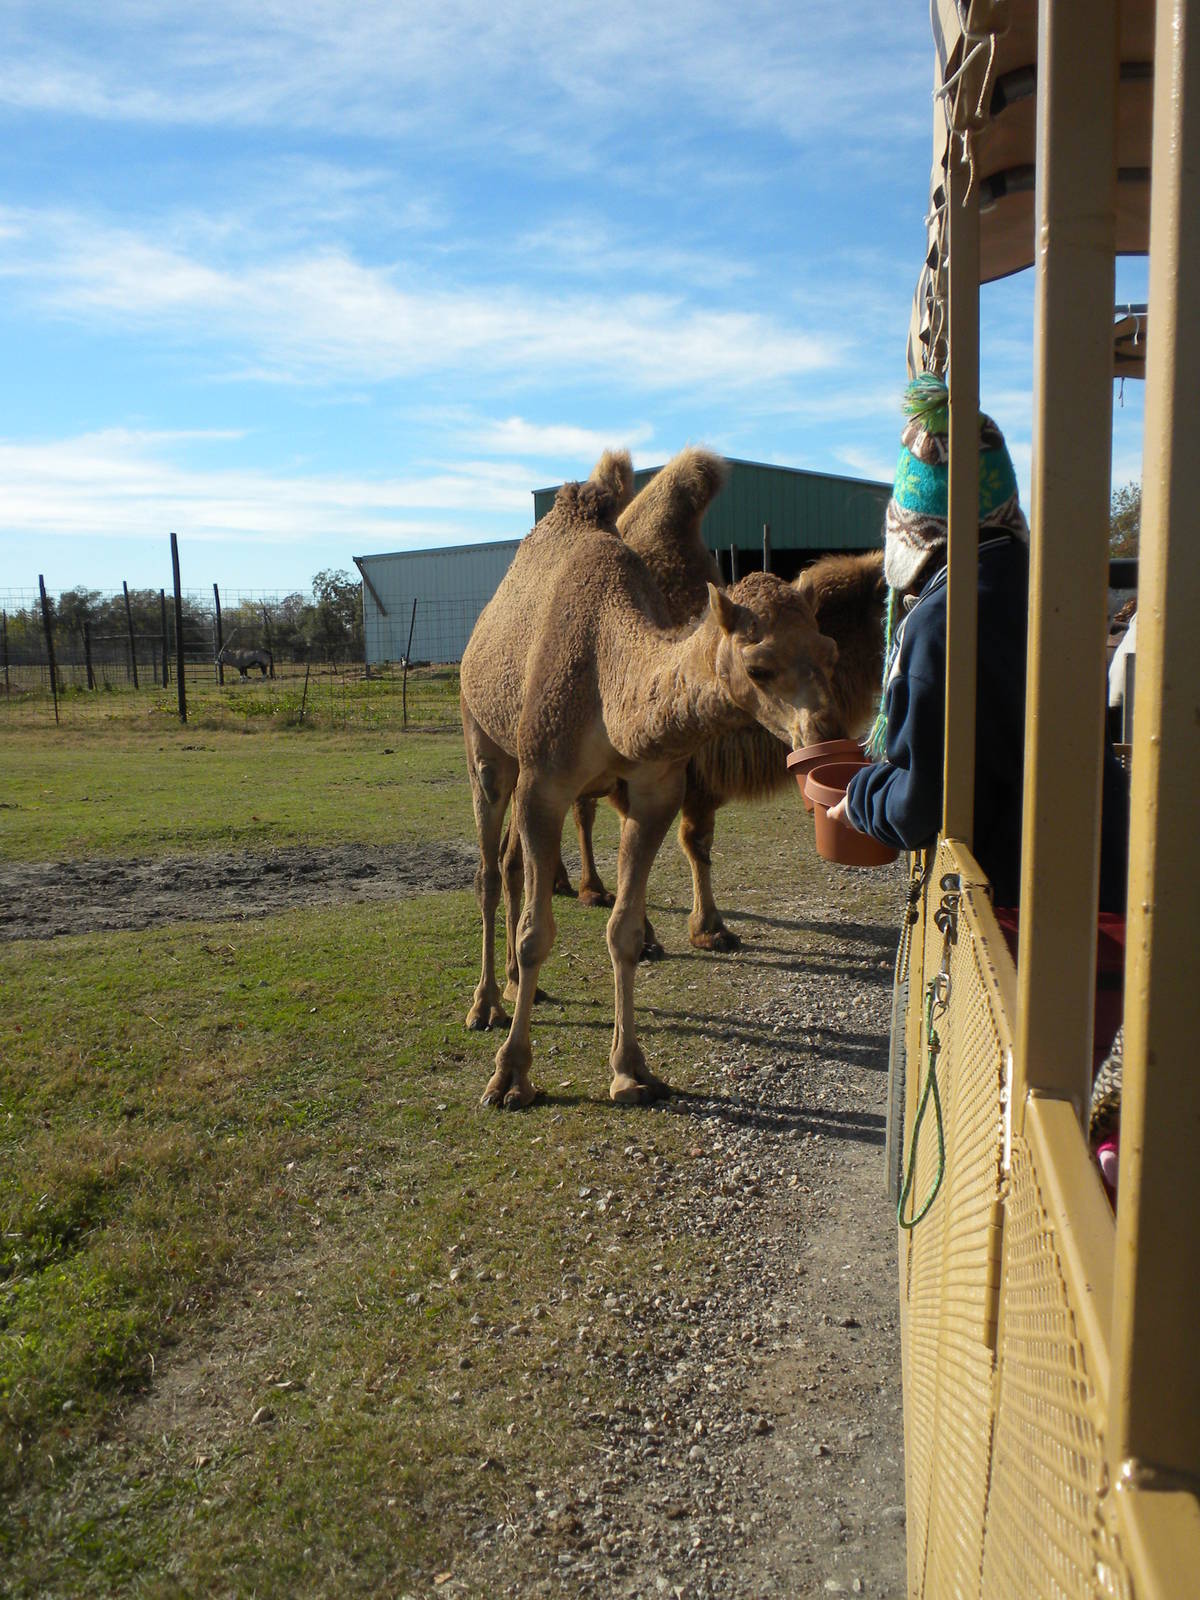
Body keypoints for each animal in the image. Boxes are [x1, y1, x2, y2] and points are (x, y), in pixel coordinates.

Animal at [459, 449, 837, 1108]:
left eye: (832, 652)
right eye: (760, 667)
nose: (825, 734)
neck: (610, 682)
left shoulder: (654, 793)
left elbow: (625, 932)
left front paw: (631, 1070)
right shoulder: (544, 783)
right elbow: (537, 933)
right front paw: (510, 1076)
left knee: (507, 863)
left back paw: (513, 987)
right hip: (485, 744)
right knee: (486, 869)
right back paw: (485, 1006)